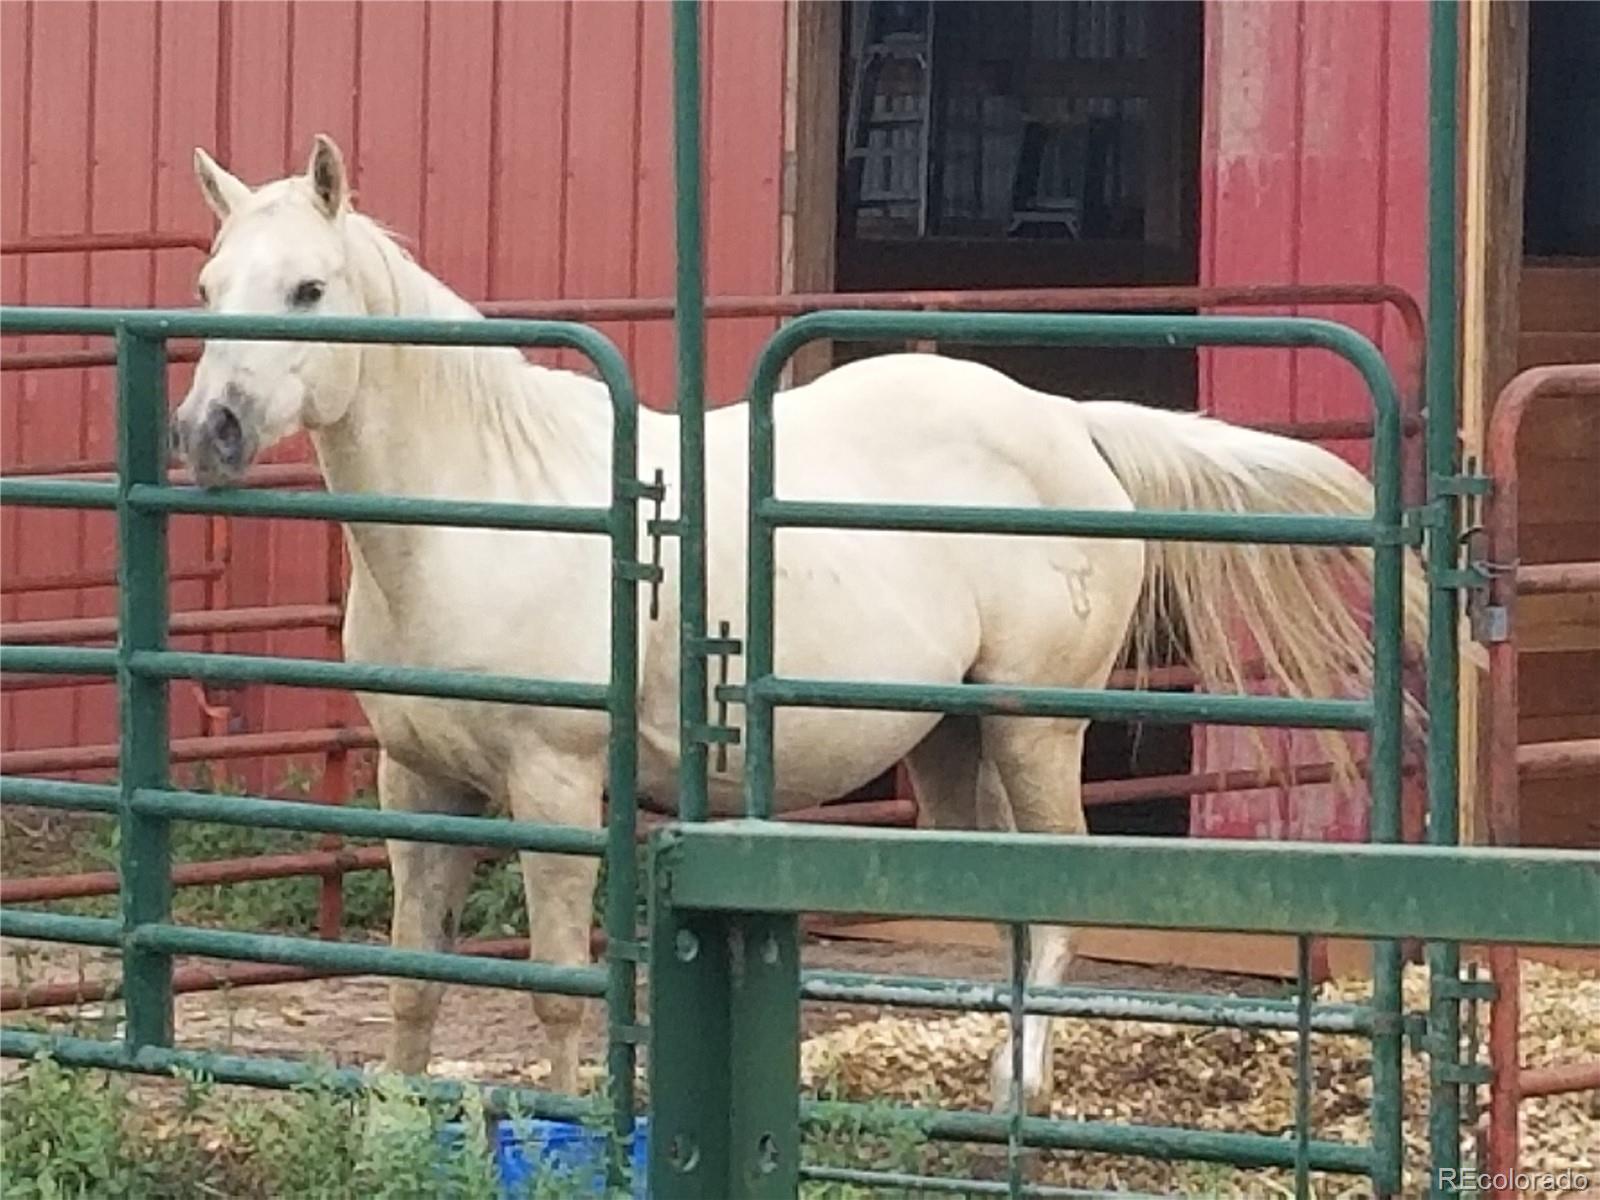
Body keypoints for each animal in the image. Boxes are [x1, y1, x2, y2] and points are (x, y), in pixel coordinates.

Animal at [172, 136, 1427, 1113]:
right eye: (209, 284)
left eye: (309, 290)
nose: (208, 430)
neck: (486, 507)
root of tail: (1071, 422)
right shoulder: (419, 785)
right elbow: (413, 982)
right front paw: (395, 1126)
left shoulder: (555, 786)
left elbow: (559, 991)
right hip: (950, 740)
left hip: (1033, 727)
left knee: (1052, 897)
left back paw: (1019, 1091)